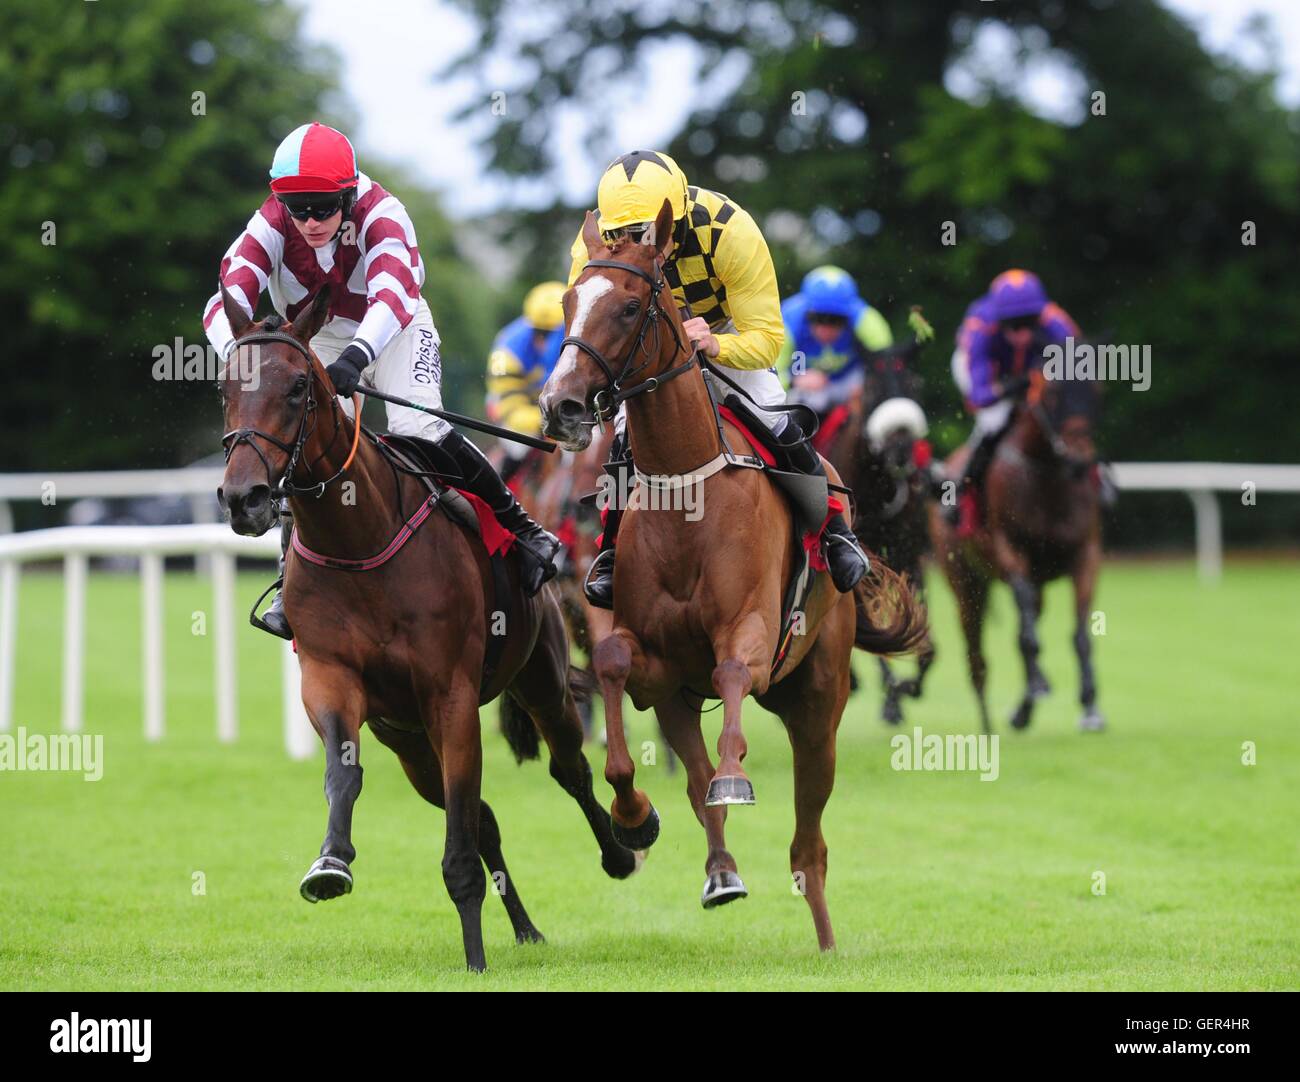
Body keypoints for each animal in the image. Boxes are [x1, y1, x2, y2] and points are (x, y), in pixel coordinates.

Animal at [214, 284, 639, 972]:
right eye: (225, 385)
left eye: (299, 387)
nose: (243, 497)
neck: (358, 539)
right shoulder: (331, 680)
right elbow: (345, 774)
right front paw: (330, 864)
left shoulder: (452, 697)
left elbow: (463, 838)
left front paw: (474, 957)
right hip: (409, 743)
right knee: (484, 815)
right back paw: (525, 927)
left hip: (540, 679)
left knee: (569, 769)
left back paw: (622, 849)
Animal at [535, 202, 925, 946]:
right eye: (569, 301)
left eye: (628, 307)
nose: (560, 406)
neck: (688, 493)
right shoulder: (653, 665)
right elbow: (613, 668)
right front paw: (633, 815)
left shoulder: (751, 629)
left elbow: (735, 674)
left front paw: (735, 776)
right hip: (683, 702)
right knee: (697, 786)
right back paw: (721, 873)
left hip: (817, 703)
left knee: (809, 844)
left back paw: (827, 941)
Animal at [930, 371, 1102, 733]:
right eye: (1052, 394)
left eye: (1097, 389)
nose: (1079, 460)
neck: (1048, 476)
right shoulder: (1010, 551)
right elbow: (1027, 637)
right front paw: (1042, 683)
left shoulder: (1087, 554)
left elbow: (1081, 633)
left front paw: (1091, 705)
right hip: (965, 582)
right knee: (978, 651)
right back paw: (991, 720)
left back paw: (1023, 709)